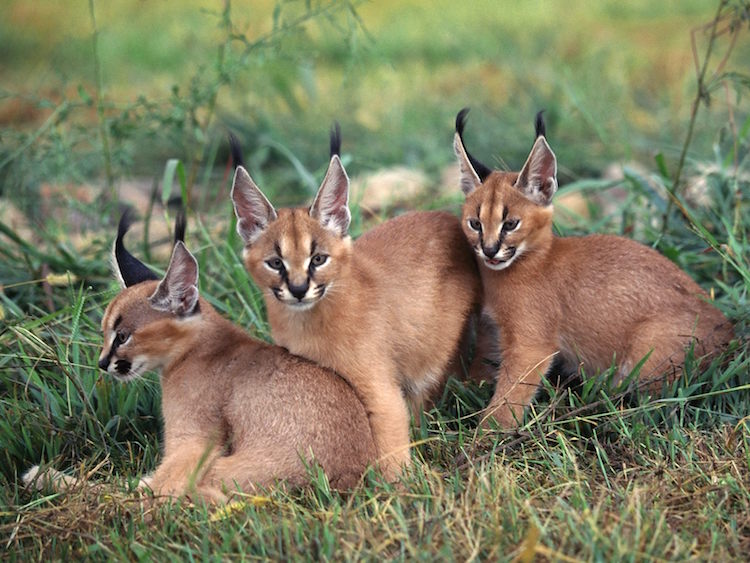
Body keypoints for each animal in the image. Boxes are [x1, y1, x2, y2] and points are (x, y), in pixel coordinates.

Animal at [23, 214, 376, 504]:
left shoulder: (192, 441)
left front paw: (44, 477)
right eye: (103, 332)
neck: (191, 352)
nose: (101, 362)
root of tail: (344, 484)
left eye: (122, 336)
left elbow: (145, 493)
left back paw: (43, 478)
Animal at [232, 125, 484, 478]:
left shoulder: (381, 392)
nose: (298, 289)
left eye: (318, 259)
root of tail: (447, 218)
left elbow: (391, 448)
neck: (307, 321)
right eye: (275, 263)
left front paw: (398, 489)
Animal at [452, 109, 736, 428]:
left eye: (511, 223)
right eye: (475, 223)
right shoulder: (493, 328)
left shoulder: (531, 345)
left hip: (647, 352)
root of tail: (731, 331)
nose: (489, 250)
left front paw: (486, 433)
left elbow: (509, 396)